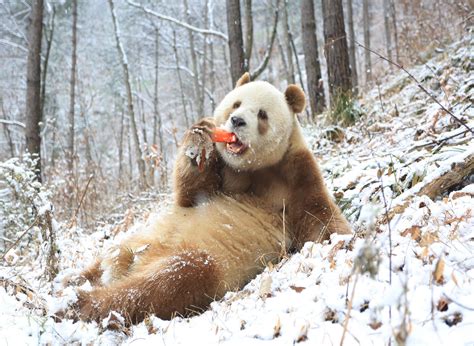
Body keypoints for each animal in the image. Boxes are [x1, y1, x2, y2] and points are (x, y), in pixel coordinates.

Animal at [72, 73, 350, 324]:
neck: (250, 169)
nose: (237, 121)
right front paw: (199, 139)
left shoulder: (295, 174)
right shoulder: (222, 173)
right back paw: (72, 285)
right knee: (97, 266)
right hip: (139, 238)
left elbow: (320, 218)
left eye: (262, 114)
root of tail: (130, 263)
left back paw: (85, 302)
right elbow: (189, 194)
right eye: (236, 104)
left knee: (172, 279)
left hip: (207, 263)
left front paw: (339, 244)